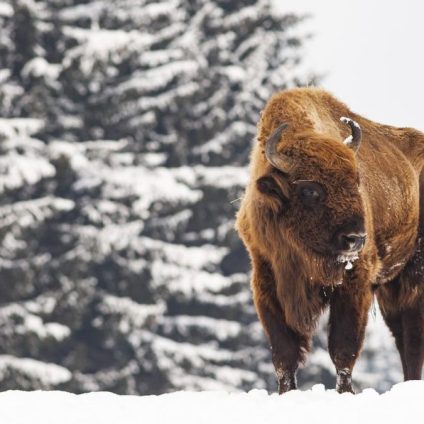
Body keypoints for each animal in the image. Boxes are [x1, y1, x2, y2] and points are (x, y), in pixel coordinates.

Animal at [235, 87, 424, 394]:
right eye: (310, 190)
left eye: (357, 181)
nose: (356, 239)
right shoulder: (266, 279)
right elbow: (283, 352)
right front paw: (286, 393)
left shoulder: (354, 283)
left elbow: (343, 347)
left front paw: (345, 392)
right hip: (390, 287)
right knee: (403, 336)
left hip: (413, 275)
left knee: (413, 337)